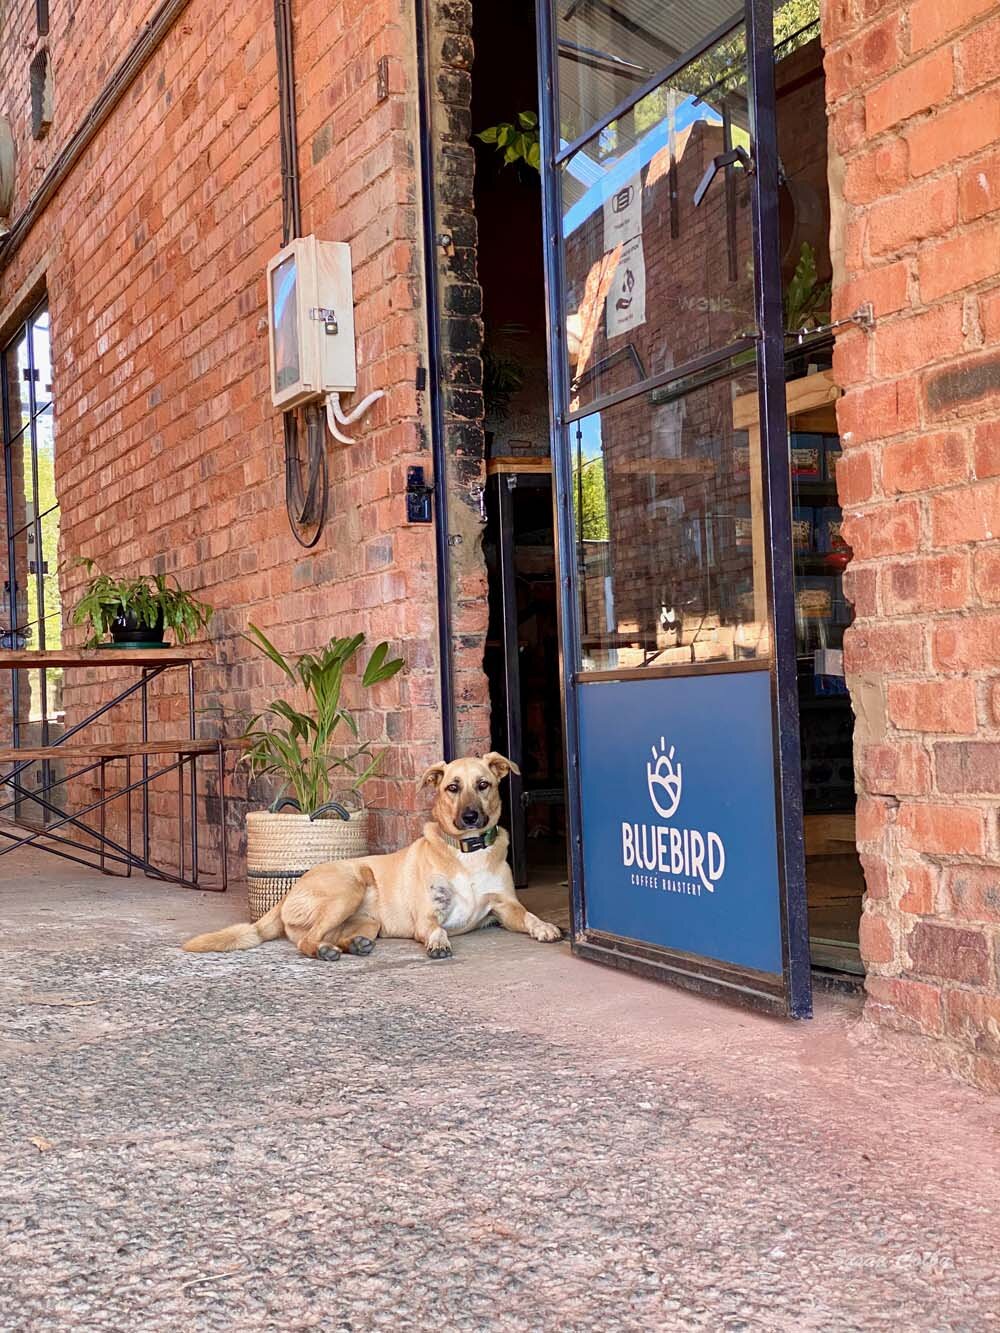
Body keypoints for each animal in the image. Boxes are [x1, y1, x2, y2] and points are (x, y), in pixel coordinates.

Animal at [181, 751, 568, 959]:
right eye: (452, 788)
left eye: (483, 784)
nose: (471, 817)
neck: (466, 853)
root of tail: (288, 894)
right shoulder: (428, 915)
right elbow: (434, 929)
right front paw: (438, 943)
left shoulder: (506, 907)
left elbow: (529, 916)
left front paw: (546, 926)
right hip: (350, 887)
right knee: (307, 940)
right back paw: (326, 952)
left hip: (368, 920)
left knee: (333, 935)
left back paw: (354, 944)